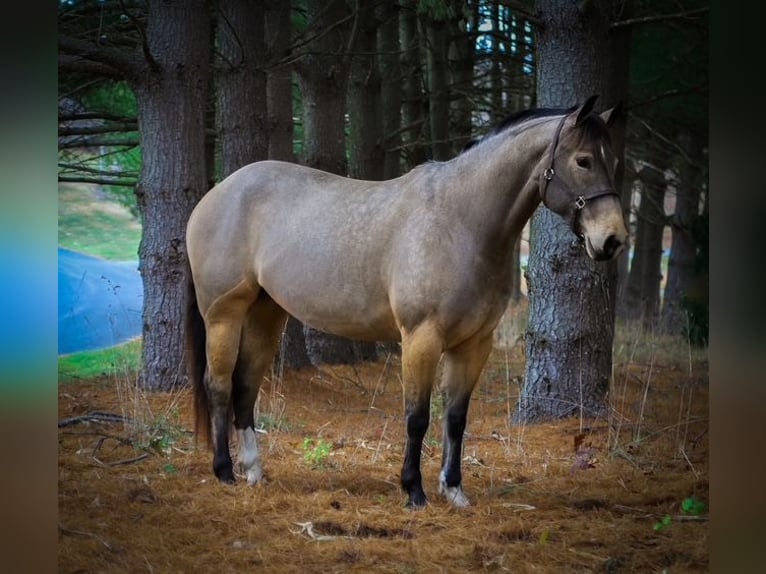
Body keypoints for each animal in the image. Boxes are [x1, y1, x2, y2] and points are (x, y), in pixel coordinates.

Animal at [186, 97, 632, 510]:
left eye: (612, 160)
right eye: (583, 160)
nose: (612, 240)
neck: (460, 222)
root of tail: (216, 193)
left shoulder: (474, 343)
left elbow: (456, 418)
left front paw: (454, 490)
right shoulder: (421, 337)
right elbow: (417, 418)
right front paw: (414, 490)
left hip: (266, 313)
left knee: (246, 386)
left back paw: (254, 471)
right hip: (224, 314)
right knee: (219, 384)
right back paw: (224, 472)